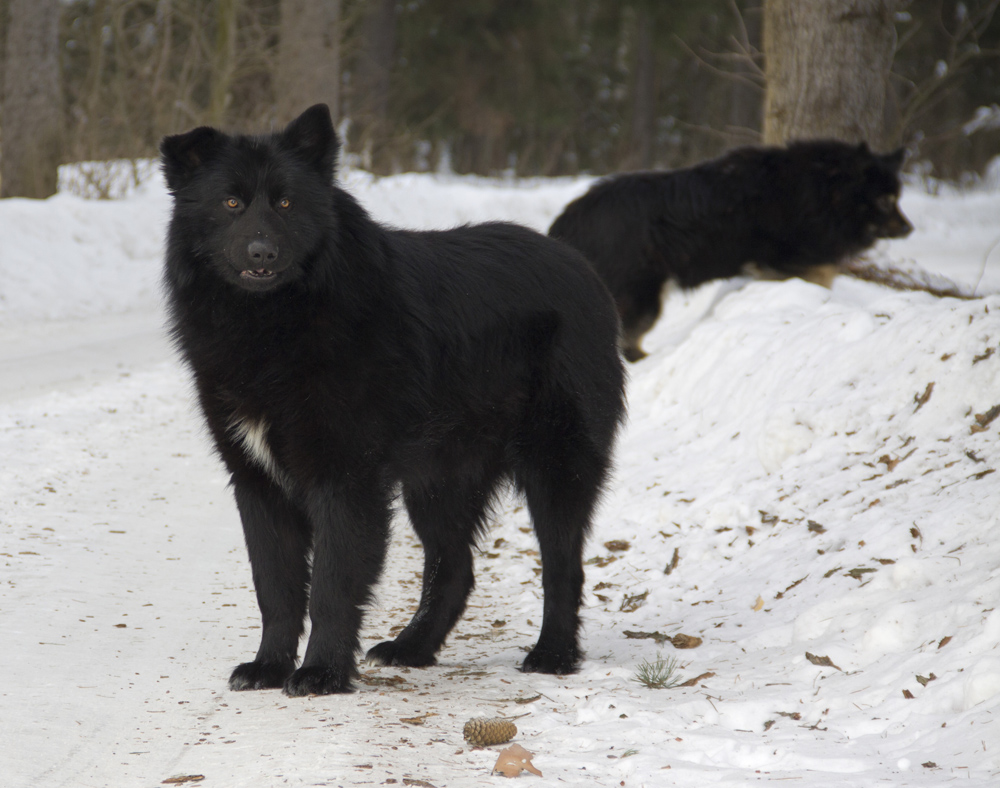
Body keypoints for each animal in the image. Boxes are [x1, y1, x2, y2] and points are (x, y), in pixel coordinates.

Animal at [159, 103, 620, 696]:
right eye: (231, 203)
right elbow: (275, 589)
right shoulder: (258, 484)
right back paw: (412, 648)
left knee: (563, 565)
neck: (276, 321)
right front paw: (268, 667)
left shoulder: (344, 481)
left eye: (285, 203)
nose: (263, 251)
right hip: (439, 480)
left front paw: (321, 673)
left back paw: (554, 655)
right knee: (455, 568)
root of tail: (582, 268)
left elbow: (331, 587)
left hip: (555, 465)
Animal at [552, 140, 912, 362]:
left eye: (897, 197)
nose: (909, 229)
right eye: (885, 200)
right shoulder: (790, 257)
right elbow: (822, 276)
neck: (821, 189)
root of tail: (569, 219)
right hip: (641, 294)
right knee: (628, 338)